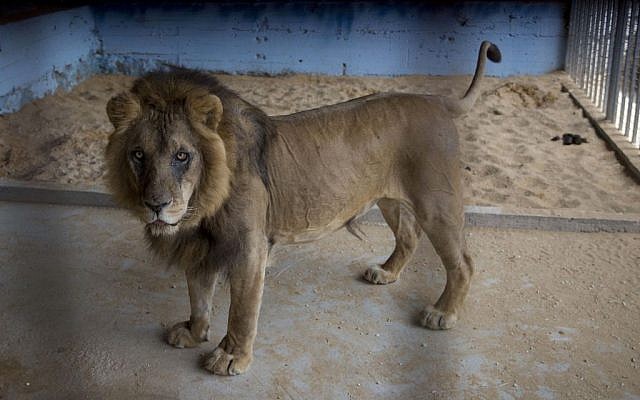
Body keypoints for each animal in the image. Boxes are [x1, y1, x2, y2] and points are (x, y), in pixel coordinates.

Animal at [105, 41, 501, 376]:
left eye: (182, 156)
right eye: (138, 155)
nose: (155, 205)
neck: (200, 207)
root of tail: (437, 100)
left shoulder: (249, 249)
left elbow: (241, 311)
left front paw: (231, 356)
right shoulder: (198, 246)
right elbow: (198, 295)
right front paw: (193, 332)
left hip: (437, 204)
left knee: (462, 262)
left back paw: (441, 313)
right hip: (388, 199)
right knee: (408, 235)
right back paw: (386, 273)